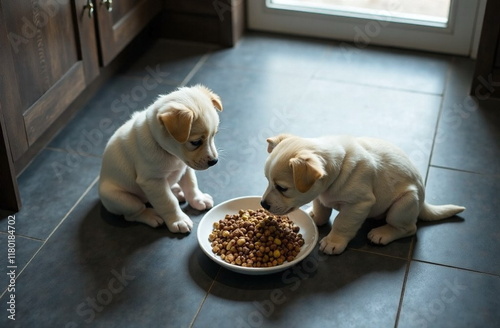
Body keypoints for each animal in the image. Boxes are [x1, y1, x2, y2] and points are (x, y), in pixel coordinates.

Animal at [98, 84, 222, 233]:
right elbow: (168, 201)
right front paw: (178, 220)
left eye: (214, 135)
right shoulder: (152, 181)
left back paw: (176, 190)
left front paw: (198, 199)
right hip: (122, 199)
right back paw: (151, 215)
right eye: (196, 142)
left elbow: (191, 185)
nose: (214, 162)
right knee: (134, 213)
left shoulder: (185, 167)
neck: (171, 154)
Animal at [260, 135, 466, 255]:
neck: (338, 169)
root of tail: (423, 201)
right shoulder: (321, 194)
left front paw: (334, 242)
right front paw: (316, 216)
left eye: (282, 188)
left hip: (403, 205)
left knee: (409, 228)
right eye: (267, 181)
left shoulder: (359, 204)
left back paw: (383, 233)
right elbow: (321, 206)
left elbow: (342, 223)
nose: (263, 204)